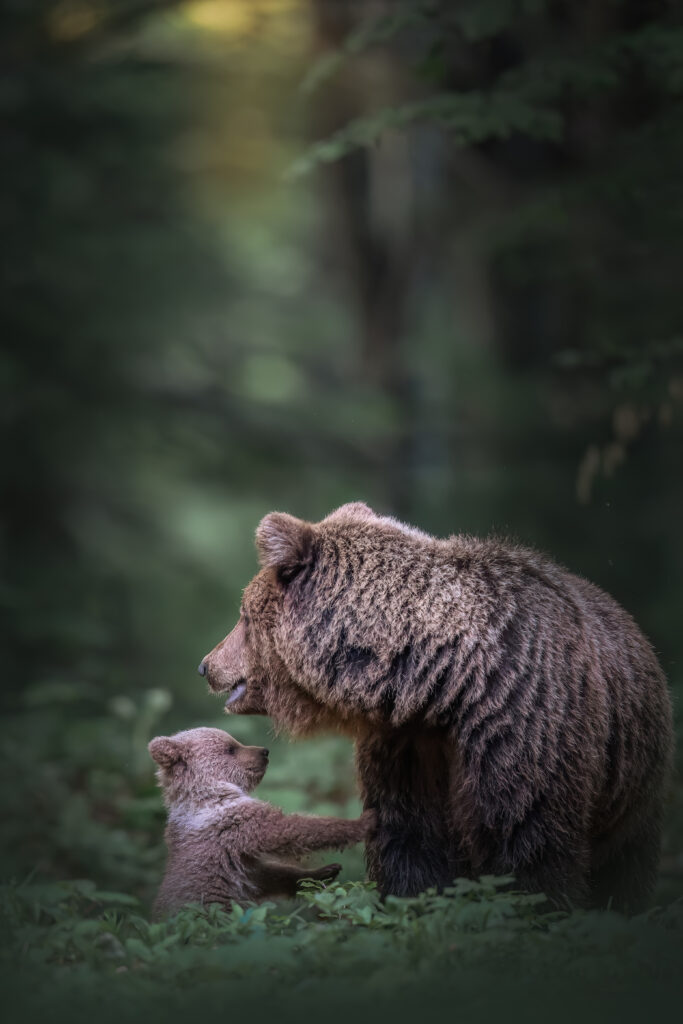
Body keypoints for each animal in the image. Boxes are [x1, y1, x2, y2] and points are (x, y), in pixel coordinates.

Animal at [197, 499, 671, 909]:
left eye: (243, 614)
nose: (206, 665)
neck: (445, 684)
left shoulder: (524, 724)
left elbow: (529, 841)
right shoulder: (409, 747)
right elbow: (413, 844)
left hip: (631, 782)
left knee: (625, 864)